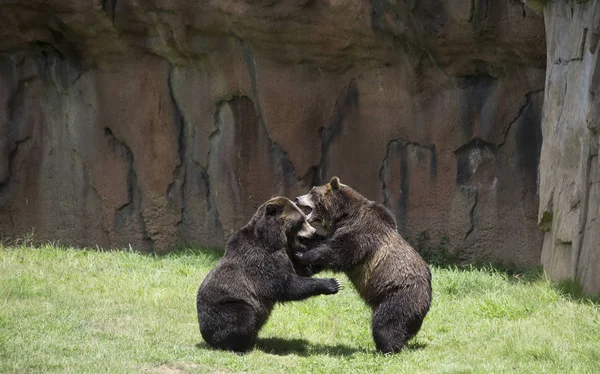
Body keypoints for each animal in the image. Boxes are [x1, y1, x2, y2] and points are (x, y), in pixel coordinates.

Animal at [196, 196, 340, 354]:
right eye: (301, 220)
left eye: (304, 218)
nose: (313, 231)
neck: (272, 240)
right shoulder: (262, 260)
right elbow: (287, 285)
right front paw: (332, 284)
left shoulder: (287, 253)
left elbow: (303, 267)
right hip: (227, 306)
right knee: (242, 317)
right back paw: (238, 346)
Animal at [294, 178, 432, 354]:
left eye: (312, 191)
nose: (297, 198)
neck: (342, 216)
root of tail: (428, 297)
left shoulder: (362, 233)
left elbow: (339, 253)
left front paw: (302, 255)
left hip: (399, 295)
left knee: (387, 322)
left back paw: (389, 347)